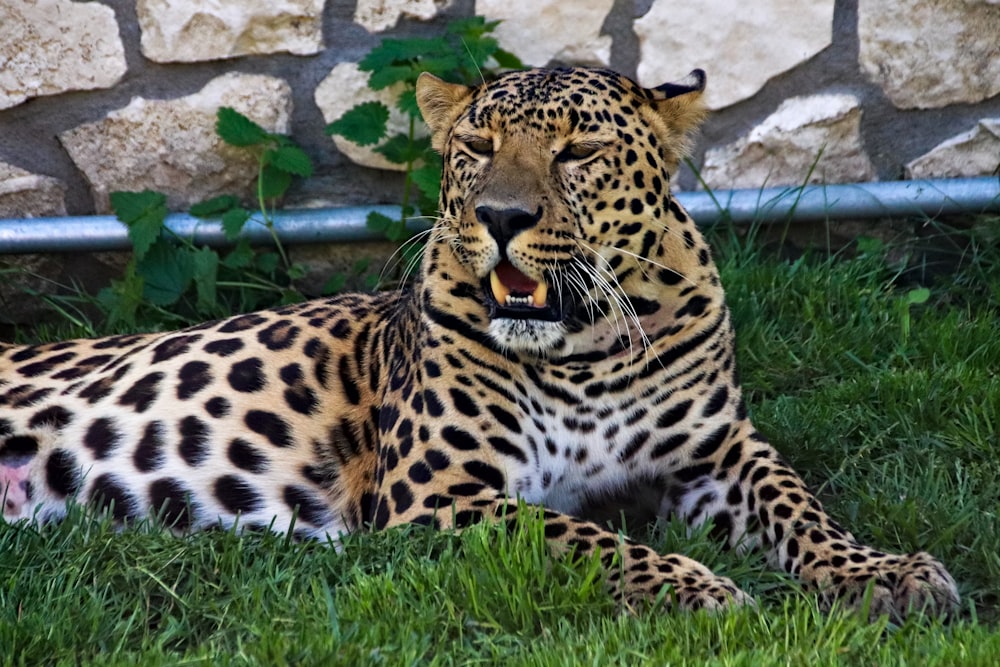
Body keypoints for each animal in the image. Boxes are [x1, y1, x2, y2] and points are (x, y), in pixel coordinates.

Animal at [0, 65, 960, 620]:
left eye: (578, 150)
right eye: (477, 142)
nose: (501, 217)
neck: (586, 345)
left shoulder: (718, 452)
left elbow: (801, 506)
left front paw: (888, 573)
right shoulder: (440, 495)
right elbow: (583, 536)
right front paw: (701, 589)